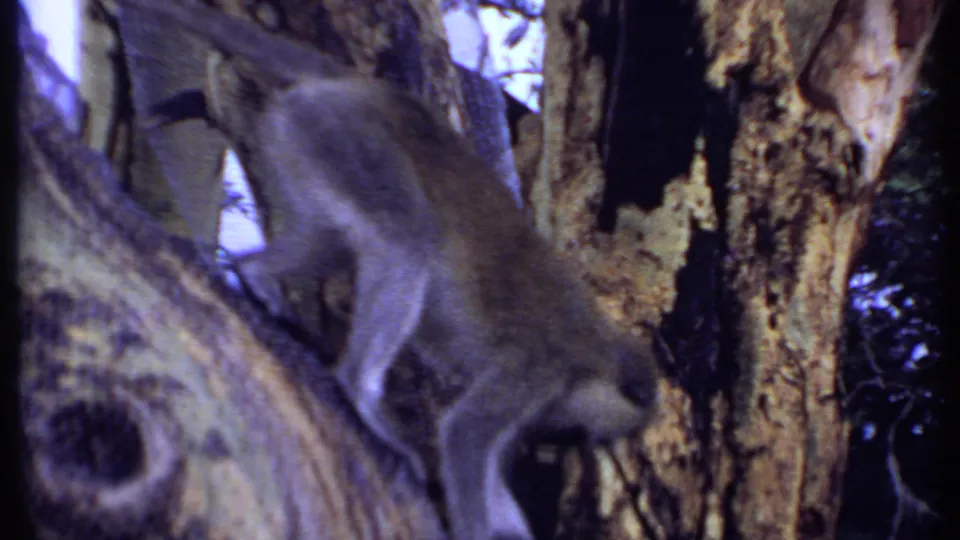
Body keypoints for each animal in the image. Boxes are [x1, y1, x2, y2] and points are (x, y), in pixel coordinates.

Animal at [116, 2, 662, 539]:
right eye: (593, 431)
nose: (574, 446)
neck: (593, 351)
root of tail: (370, 89)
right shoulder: (533, 374)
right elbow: (464, 437)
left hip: (308, 138)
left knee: (337, 243)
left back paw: (256, 274)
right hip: (350, 137)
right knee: (406, 237)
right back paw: (359, 386)